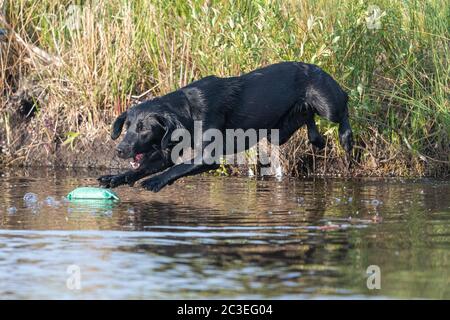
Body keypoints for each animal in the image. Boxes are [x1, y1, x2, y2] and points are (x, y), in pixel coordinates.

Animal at [97, 62, 352, 192]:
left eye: (144, 129)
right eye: (128, 127)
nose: (120, 150)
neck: (188, 111)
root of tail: (315, 66)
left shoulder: (207, 157)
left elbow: (177, 168)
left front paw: (154, 182)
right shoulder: (166, 152)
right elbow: (144, 167)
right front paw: (116, 178)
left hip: (327, 104)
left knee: (344, 103)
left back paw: (346, 137)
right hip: (279, 133)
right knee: (306, 116)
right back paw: (316, 138)